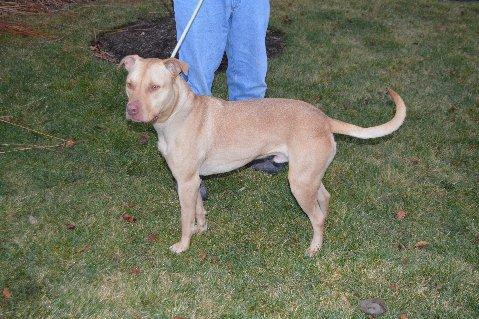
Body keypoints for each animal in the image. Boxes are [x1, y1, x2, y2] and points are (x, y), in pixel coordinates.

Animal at [119, 55, 404, 258]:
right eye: (130, 85)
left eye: (155, 87)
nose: (131, 110)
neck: (178, 113)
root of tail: (324, 119)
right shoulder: (192, 181)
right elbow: (199, 210)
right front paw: (200, 229)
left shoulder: (186, 182)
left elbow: (185, 217)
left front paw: (183, 244)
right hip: (308, 177)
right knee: (324, 199)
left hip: (299, 184)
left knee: (317, 218)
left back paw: (314, 248)